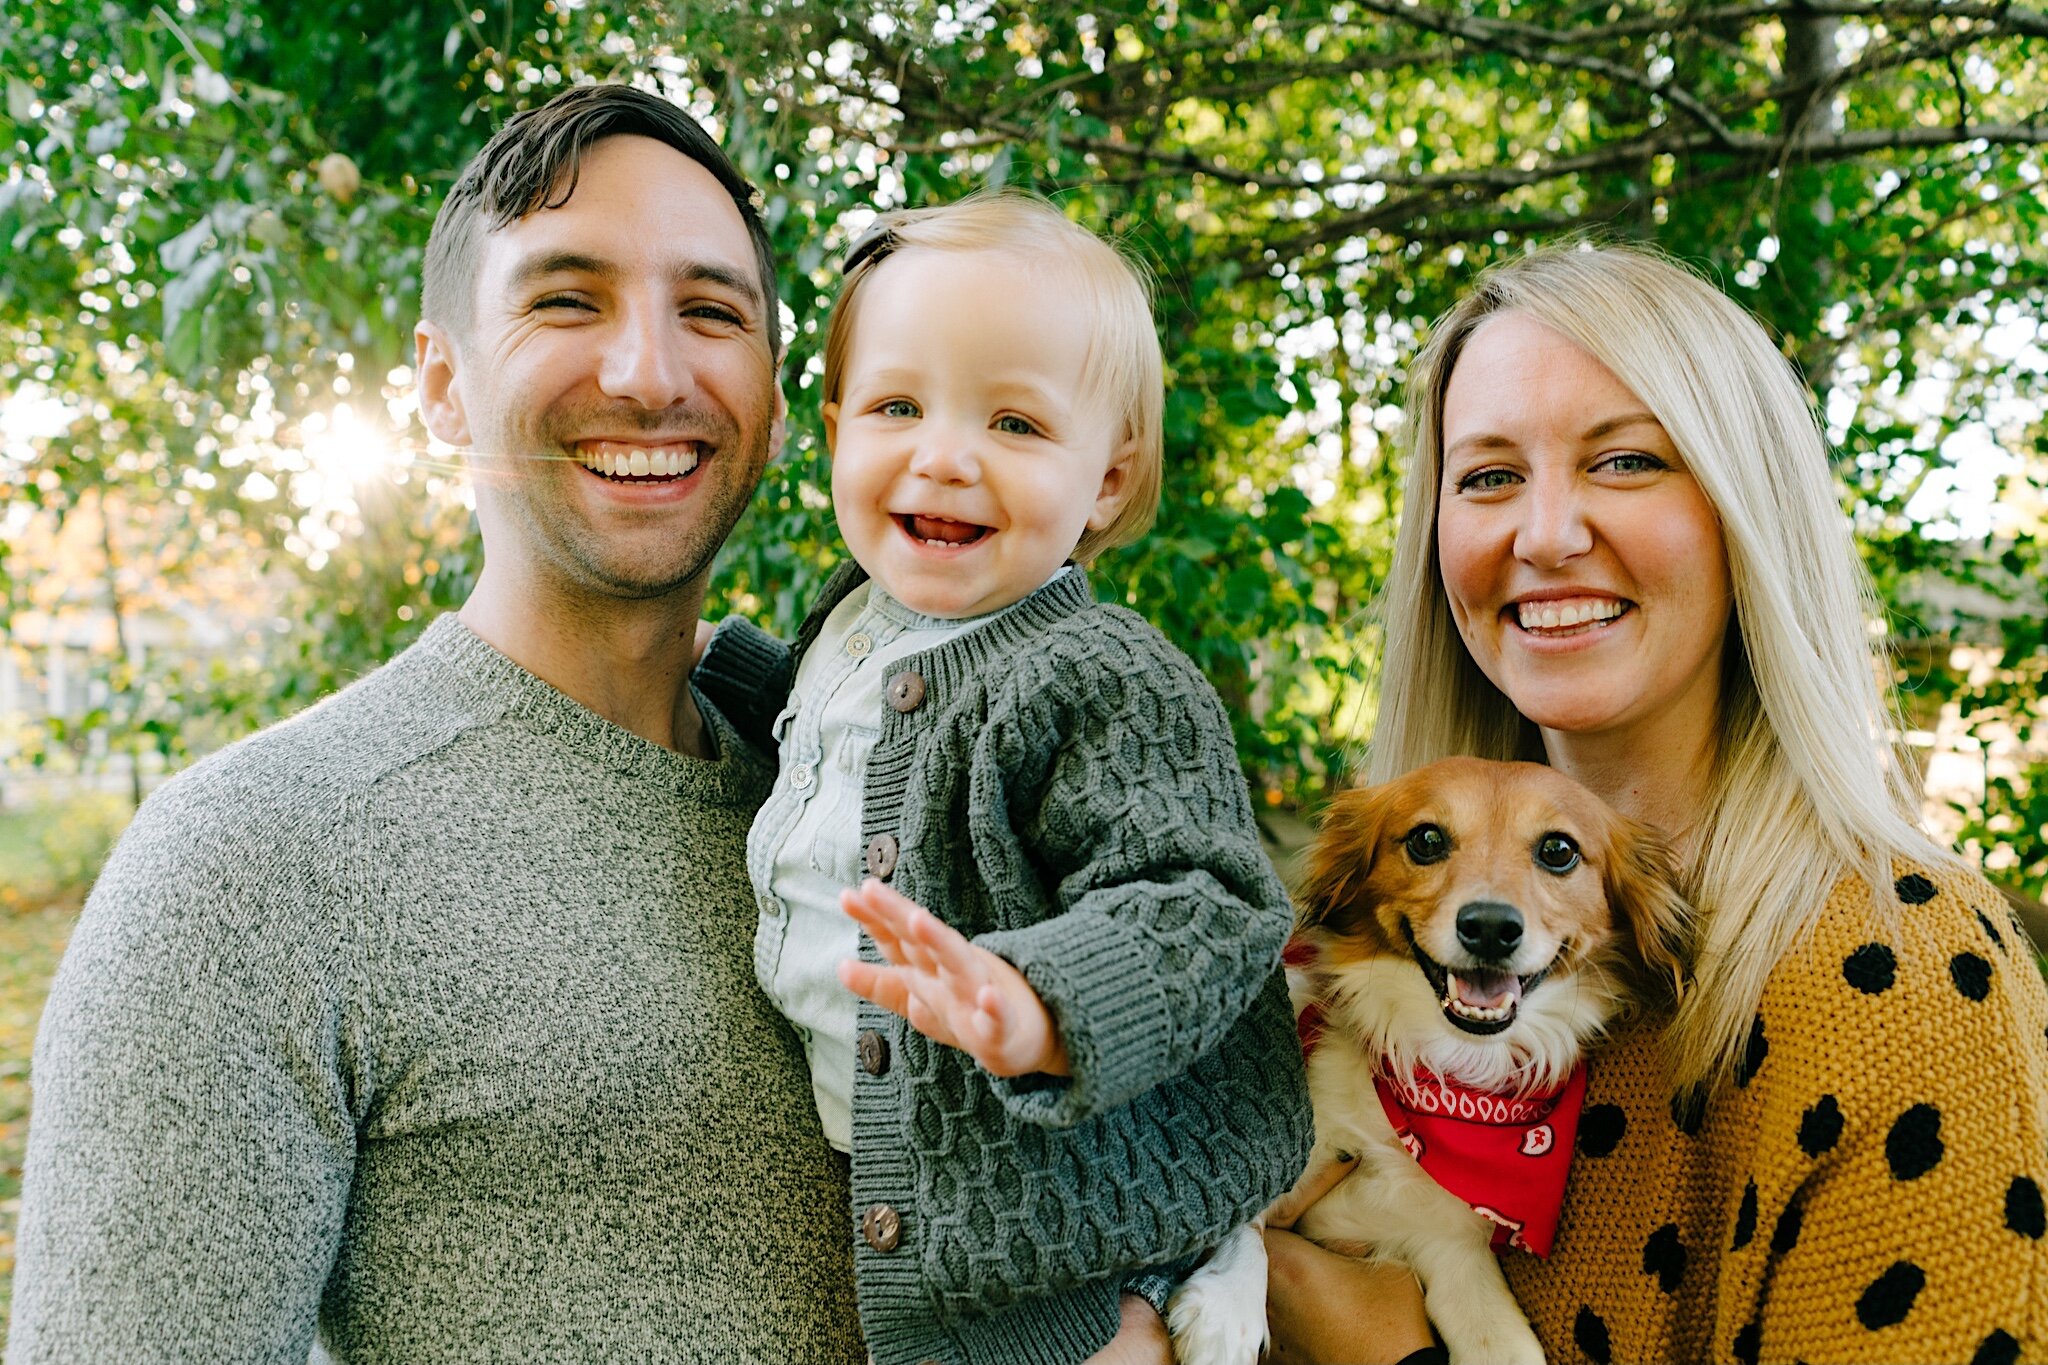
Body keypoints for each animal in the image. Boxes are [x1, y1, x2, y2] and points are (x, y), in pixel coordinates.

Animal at [1179, 757, 1687, 1365]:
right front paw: (1227, 1306)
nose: (1490, 927)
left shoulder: (1452, 1249)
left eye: (1558, 850)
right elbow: (1243, 1212)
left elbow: (1509, 1348)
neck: (1444, 1078)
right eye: (1427, 840)